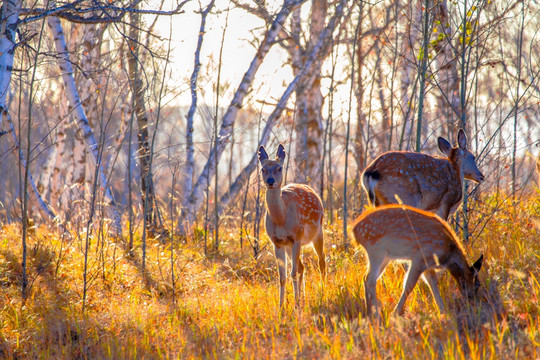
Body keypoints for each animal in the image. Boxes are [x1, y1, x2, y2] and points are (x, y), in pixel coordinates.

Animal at [258, 143, 324, 310]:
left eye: (280, 168)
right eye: (262, 169)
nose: (270, 181)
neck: (281, 218)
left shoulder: (297, 237)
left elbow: (292, 273)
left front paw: (296, 307)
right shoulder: (277, 242)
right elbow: (282, 276)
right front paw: (281, 307)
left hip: (318, 231)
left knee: (321, 261)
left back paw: (324, 290)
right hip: (290, 245)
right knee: (302, 266)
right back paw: (303, 298)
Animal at [352, 204, 484, 316]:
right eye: (477, 285)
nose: (473, 303)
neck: (449, 253)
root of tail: (353, 230)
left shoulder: (428, 265)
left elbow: (432, 284)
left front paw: (443, 311)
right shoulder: (421, 257)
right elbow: (409, 284)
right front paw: (396, 313)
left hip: (384, 257)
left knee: (366, 277)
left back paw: (368, 311)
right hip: (376, 251)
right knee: (370, 279)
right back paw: (376, 314)